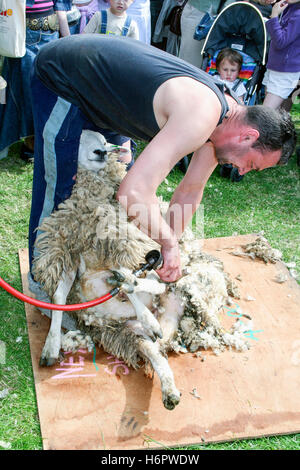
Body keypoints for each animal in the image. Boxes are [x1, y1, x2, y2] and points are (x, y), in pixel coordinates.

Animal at [32, 130, 251, 410]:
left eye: (104, 142)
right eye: (80, 139)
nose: (100, 153)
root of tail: (171, 319)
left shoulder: (124, 248)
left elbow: (127, 277)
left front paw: (133, 292)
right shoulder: (71, 255)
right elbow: (59, 296)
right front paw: (51, 346)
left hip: (180, 283)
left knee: (154, 284)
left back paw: (140, 297)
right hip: (132, 333)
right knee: (156, 352)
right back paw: (169, 391)